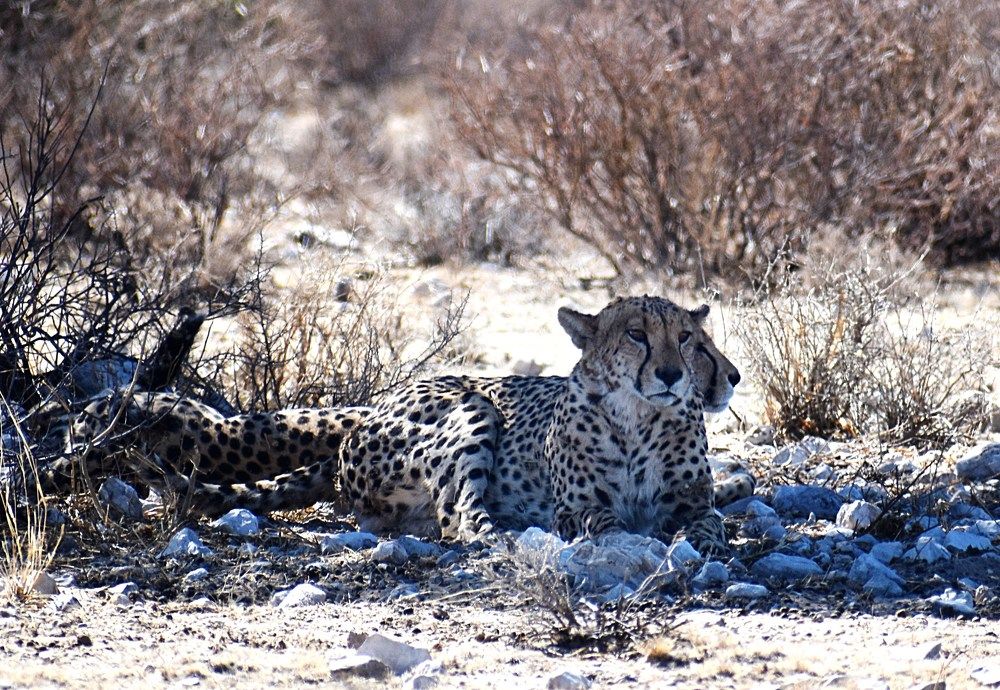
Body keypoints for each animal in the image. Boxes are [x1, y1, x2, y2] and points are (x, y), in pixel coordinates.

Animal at [48, 296, 752, 555]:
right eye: (637, 334)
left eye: (687, 339)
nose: (678, 374)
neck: (641, 417)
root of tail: (379, 406)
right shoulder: (580, 506)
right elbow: (606, 521)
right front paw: (637, 540)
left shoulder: (686, 498)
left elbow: (704, 519)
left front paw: (702, 531)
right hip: (469, 411)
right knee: (459, 520)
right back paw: (509, 535)